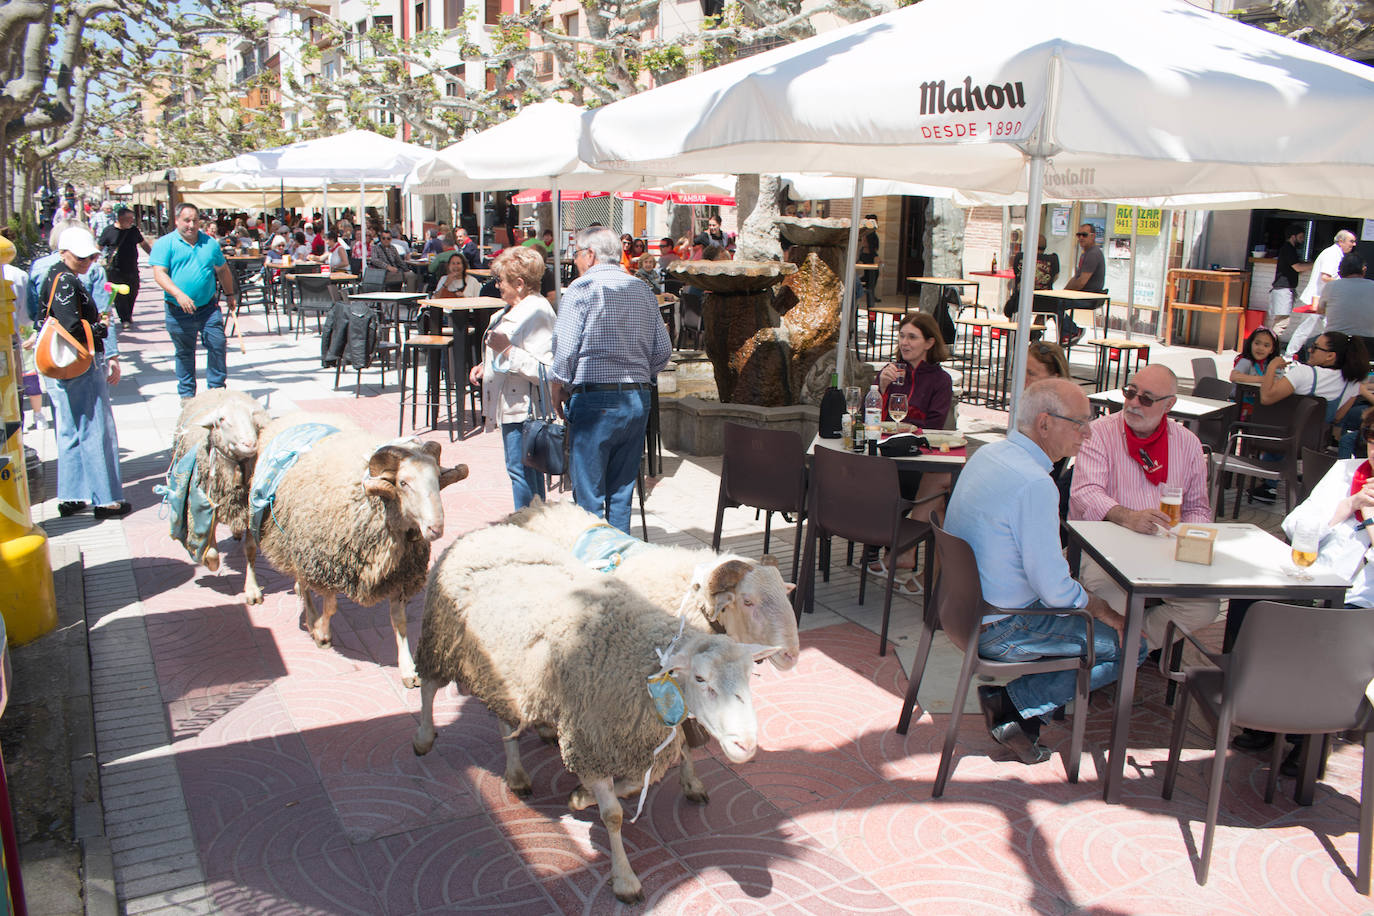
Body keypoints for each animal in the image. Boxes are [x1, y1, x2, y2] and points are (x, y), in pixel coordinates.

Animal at [169, 392, 270, 601]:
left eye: (252, 418)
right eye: (222, 420)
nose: (249, 444)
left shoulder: (249, 511)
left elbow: (250, 550)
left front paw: (252, 590)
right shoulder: (205, 509)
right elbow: (212, 552)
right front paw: (208, 563)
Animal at [255, 414, 469, 686]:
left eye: (438, 480)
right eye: (403, 483)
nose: (435, 528)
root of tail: (292, 417)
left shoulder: (399, 574)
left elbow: (399, 621)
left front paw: (408, 669)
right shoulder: (329, 565)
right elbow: (331, 607)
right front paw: (322, 632)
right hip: (299, 542)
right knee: (303, 582)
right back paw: (311, 619)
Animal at [406, 519, 780, 906]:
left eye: (749, 677)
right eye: (700, 678)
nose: (746, 745)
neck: (641, 666)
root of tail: (483, 532)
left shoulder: (623, 743)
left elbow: (631, 785)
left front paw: (581, 794)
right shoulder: (591, 737)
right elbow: (613, 815)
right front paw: (625, 879)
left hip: (505, 669)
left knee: (506, 715)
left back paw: (517, 772)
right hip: (441, 638)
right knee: (430, 687)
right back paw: (424, 737)